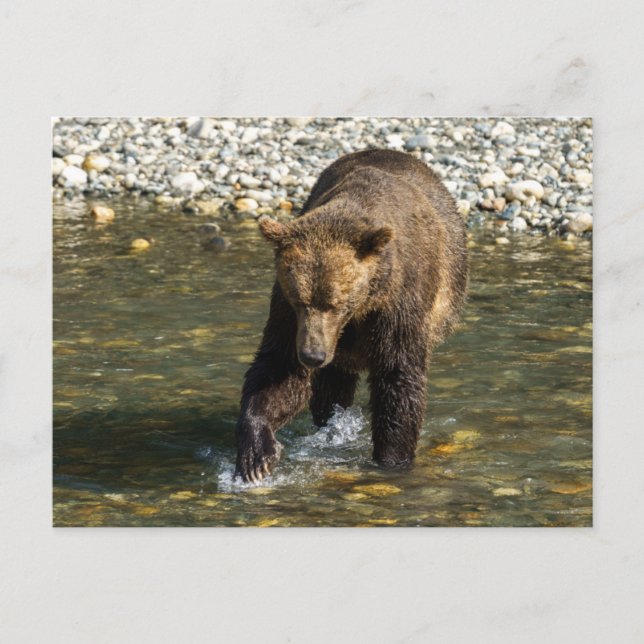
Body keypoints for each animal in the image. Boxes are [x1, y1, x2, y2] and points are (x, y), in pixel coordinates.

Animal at [234, 149, 468, 482]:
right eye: (300, 301)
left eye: (335, 303)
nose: (312, 355)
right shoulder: (286, 310)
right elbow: (279, 368)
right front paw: (257, 455)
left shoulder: (398, 302)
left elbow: (398, 375)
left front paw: (391, 459)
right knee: (331, 387)